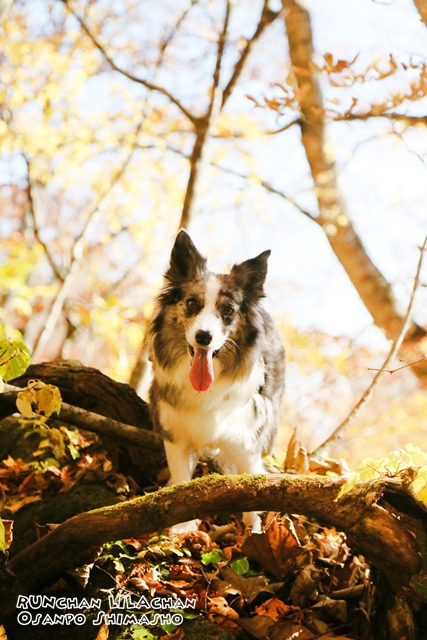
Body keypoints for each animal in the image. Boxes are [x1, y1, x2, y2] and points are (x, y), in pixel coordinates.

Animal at [149, 230, 286, 528]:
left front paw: (254, 532)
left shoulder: (247, 439)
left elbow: (252, 487)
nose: (204, 337)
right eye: (192, 303)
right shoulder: (176, 434)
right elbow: (180, 481)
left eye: (228, 310)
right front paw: (181, 529)